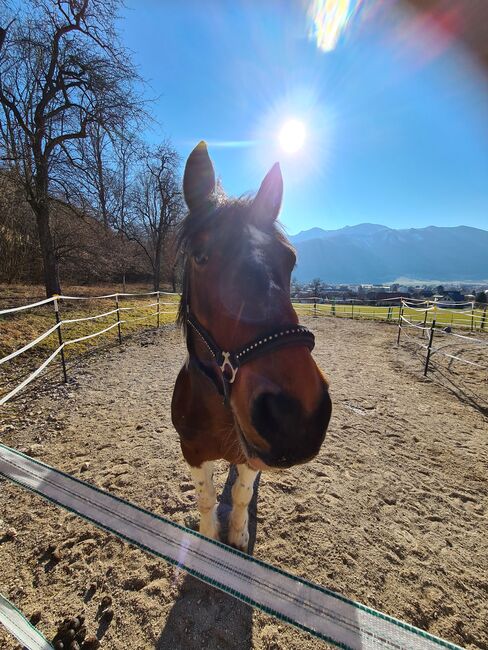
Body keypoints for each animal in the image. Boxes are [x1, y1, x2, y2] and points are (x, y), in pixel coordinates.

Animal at [171, 140, 332, 548]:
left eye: (290, 260)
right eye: (200, 256)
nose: (294, 417)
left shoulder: (250, 458)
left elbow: (242, 494)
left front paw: (238, 534)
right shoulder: (191, 450)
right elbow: (207, 498)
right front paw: (210, 534)